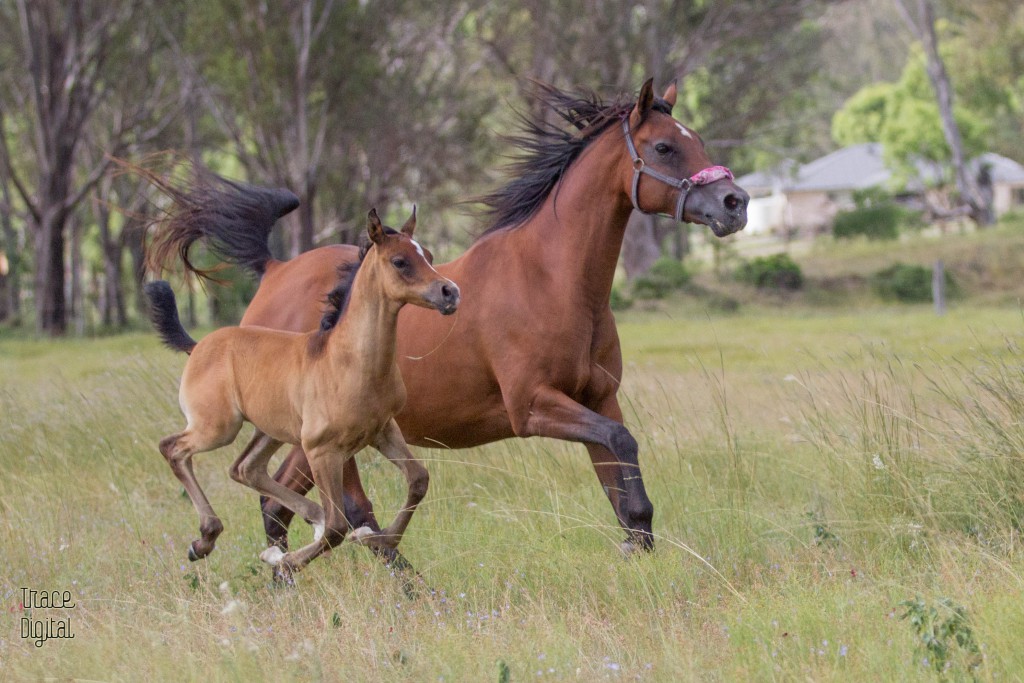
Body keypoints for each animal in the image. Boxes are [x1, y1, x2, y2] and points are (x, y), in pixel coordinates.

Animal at [145, 210, 460, 573]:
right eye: (400, 261)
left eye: (429, 256)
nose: (450, 292)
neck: (349, 361)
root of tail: (197, 347)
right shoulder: (321, 450)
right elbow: (338, 526)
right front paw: (286, 561)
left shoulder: (383, 431)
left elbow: (418, 480)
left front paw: (376, 539)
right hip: (218, 428)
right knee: (173, 448)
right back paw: (205, 540)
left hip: (271, 430)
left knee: (245, 467)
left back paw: (307, 519)